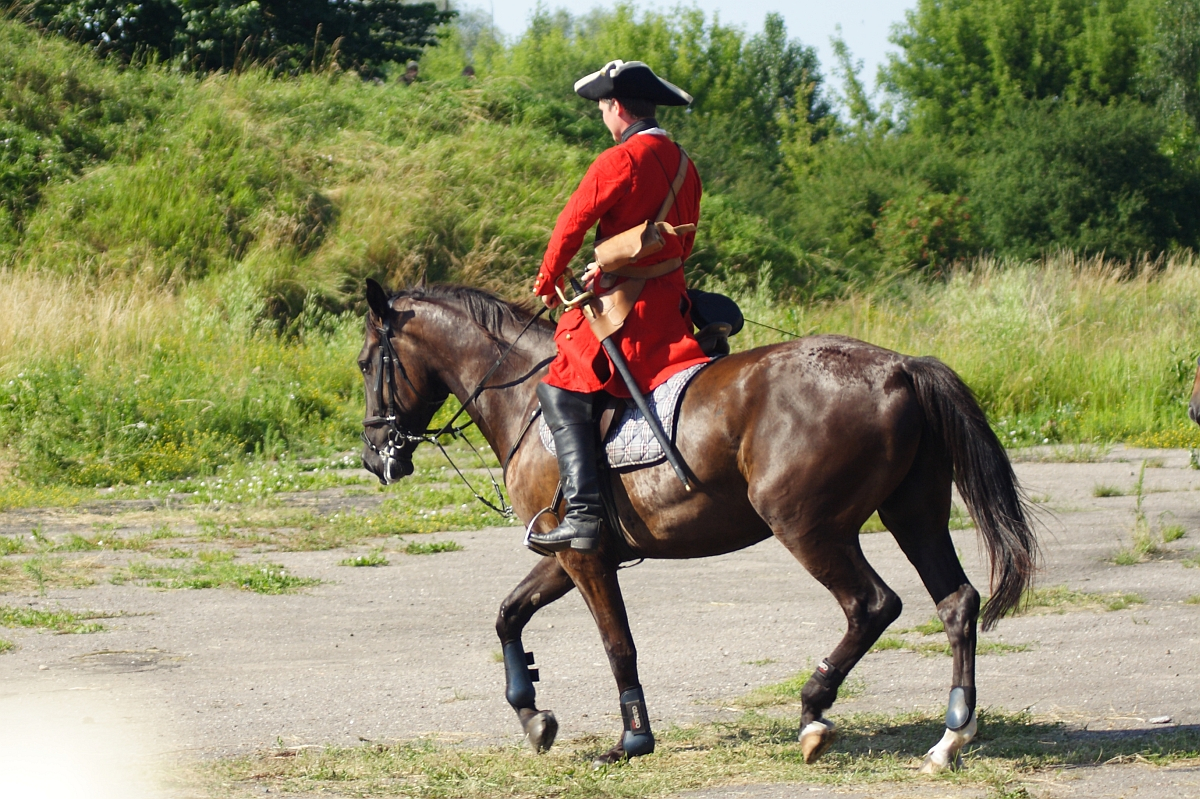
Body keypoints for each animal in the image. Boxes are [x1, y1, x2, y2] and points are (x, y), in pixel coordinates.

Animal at [358, 280, 1038, 773]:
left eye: (367, 362)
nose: (374, 457)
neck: (524, 397)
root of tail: (898, 367)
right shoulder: (564, 553)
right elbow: (509, 615)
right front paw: (533, 716)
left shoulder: (583, 556)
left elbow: (618, 643)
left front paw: (632, 740)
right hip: (912, 513)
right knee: (956, 601)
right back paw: (951, 737)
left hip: (808, 526)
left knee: (872, 604)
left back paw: (814, 712)